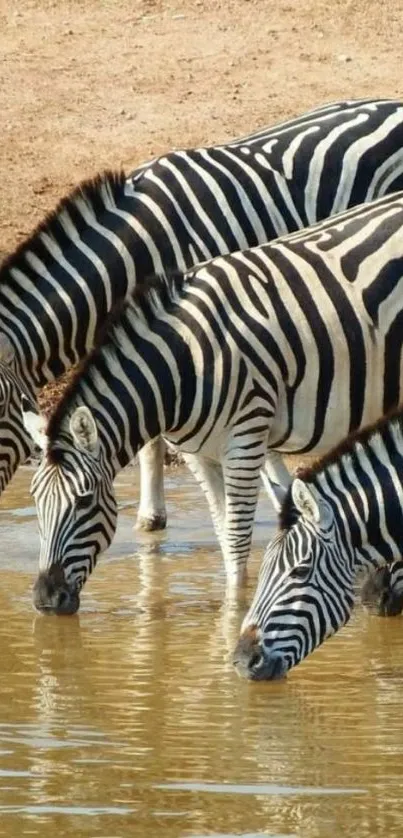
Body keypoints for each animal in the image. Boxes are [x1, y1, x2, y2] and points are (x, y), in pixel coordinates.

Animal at [22, 189, 403, 612]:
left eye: (84, 502)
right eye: (35, 501)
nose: (44, 599)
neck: (182, 364)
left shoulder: (246, 439)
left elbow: (236, 540)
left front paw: (233, 610)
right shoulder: (198, 454)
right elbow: (223, 532)